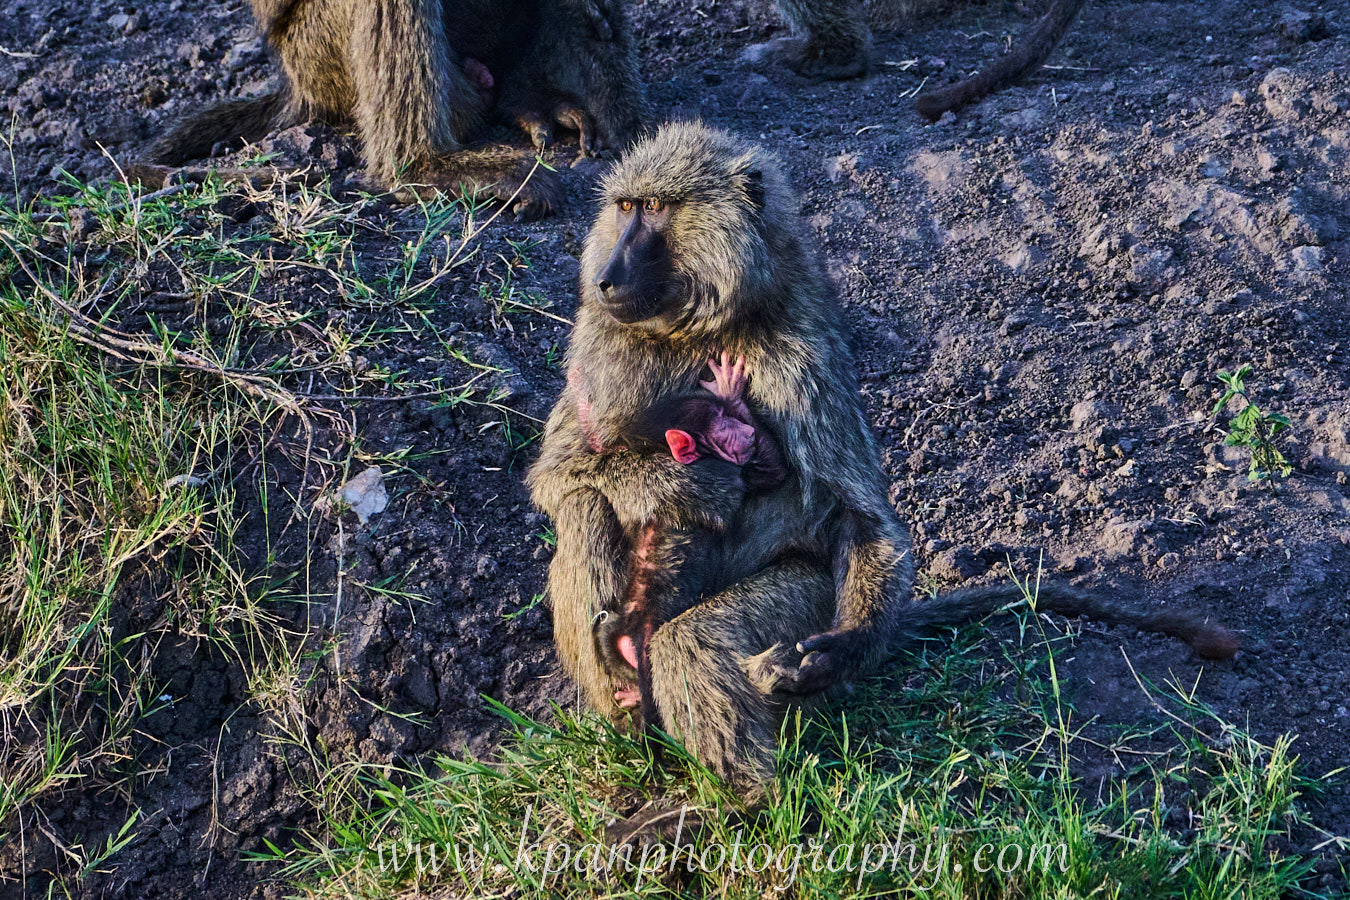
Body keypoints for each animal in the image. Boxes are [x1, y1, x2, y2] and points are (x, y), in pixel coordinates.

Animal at [527, 122, 1237, 801]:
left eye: (654, 208)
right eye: (624, 207)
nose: (605, 279)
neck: (695, 328)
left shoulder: (802, 353)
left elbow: (857, 514)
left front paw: (838, 651)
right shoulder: (601, 342)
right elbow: (560, 471)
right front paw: (690, 479)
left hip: (813, 595)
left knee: (690, 639)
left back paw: (743, 801)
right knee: (585, 511)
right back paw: (632, 717)